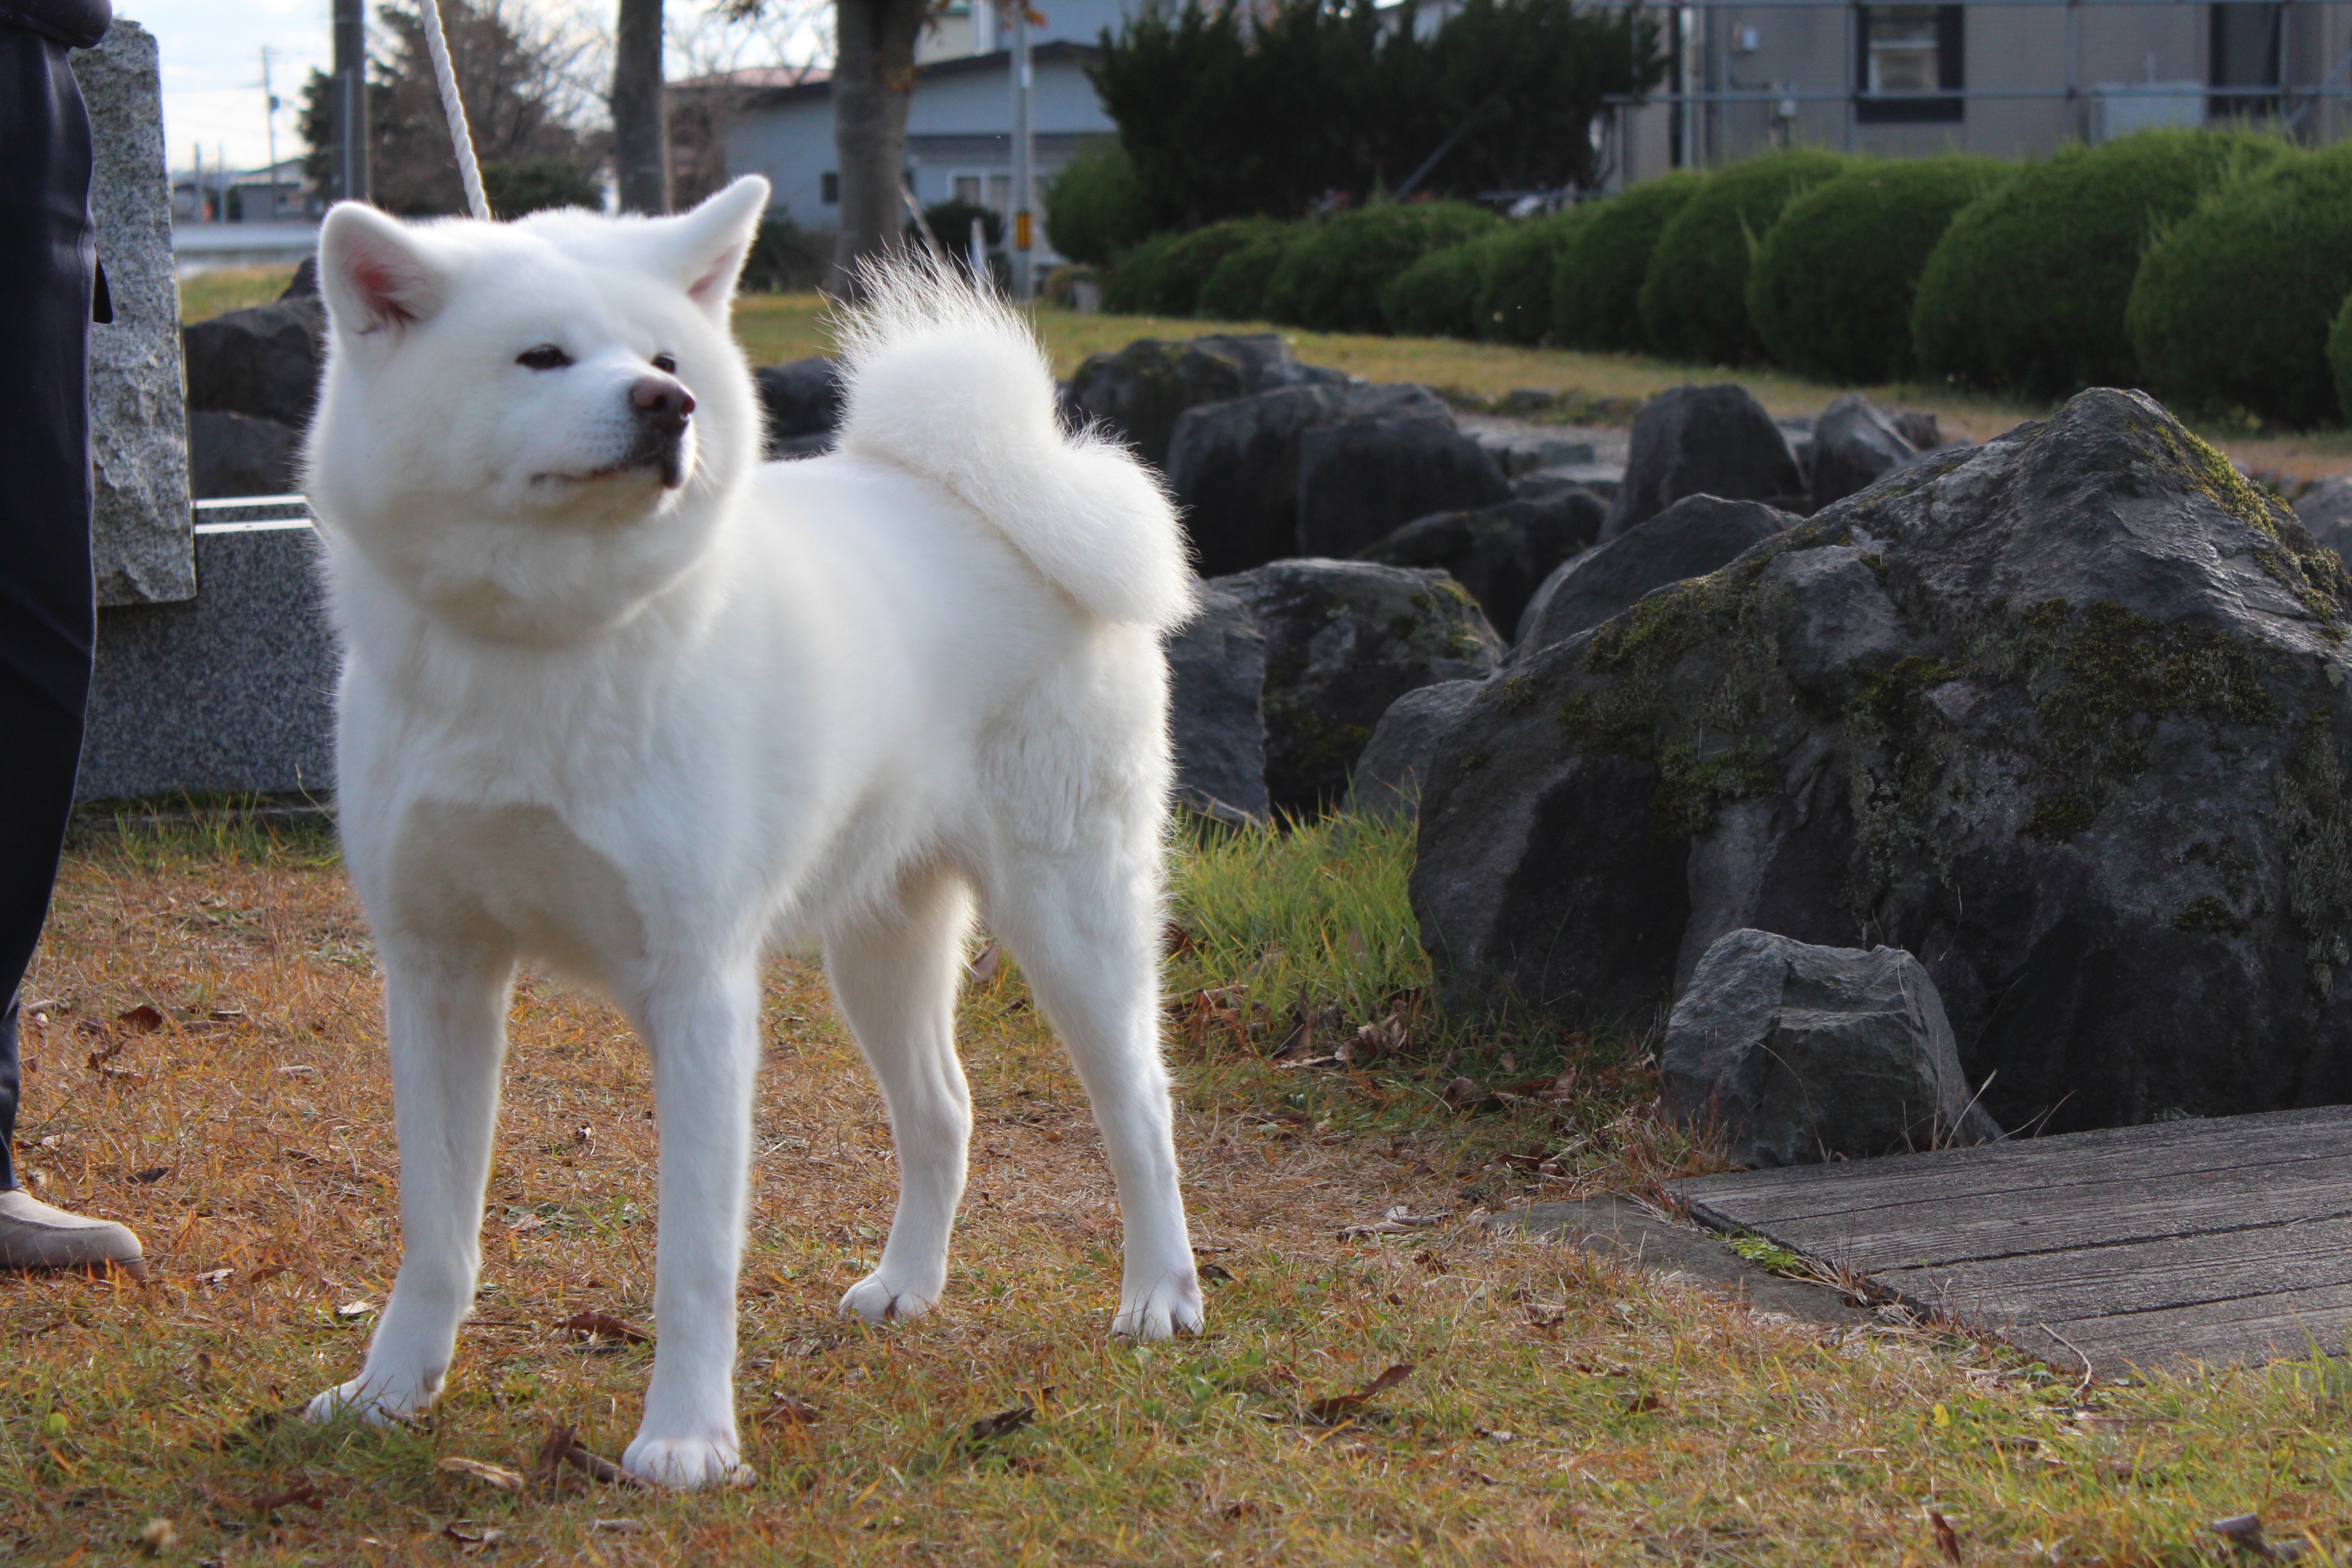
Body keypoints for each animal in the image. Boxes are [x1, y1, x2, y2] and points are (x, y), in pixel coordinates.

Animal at [294, 177, 1204, 1494]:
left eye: (667, 359)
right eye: (541, 356)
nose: (664, 404)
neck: (543, 650)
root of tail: (987, 495)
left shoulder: (698, 992)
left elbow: (693, 1256)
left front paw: (685, 1438)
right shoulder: (437, 976)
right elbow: (437, 1229)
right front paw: (388, 1393)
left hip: (1071, 917)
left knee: (1141, 1107)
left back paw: (1160, 1296)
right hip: (879, 944)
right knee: (944, 1111)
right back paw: (907, 1286)